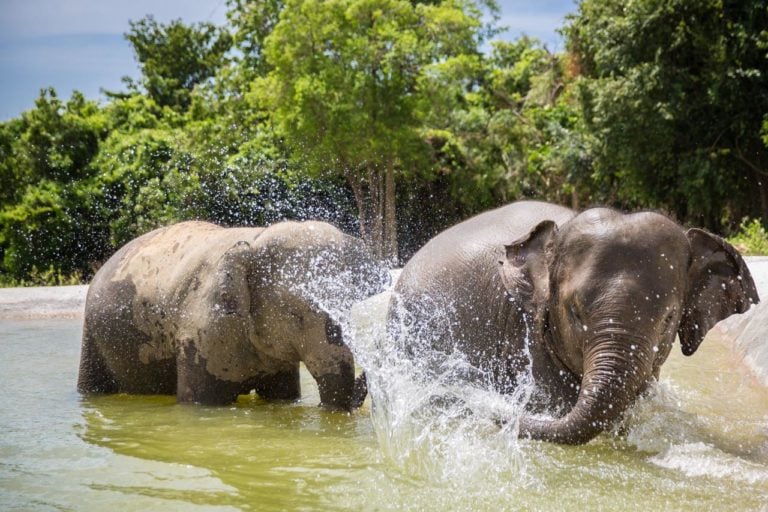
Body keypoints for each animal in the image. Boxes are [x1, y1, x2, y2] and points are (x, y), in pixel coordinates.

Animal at [78, 220, 389, 410]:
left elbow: (282, 396)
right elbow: (202, 402)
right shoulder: (203, 331)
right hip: (93, 335)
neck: (256, 238)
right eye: (295, 316)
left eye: (352, 310)